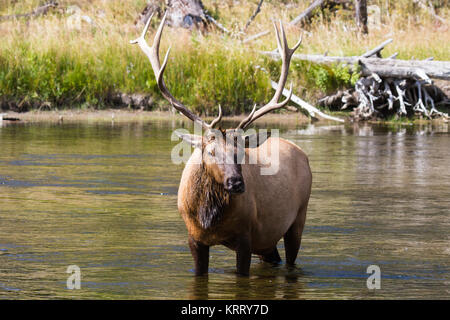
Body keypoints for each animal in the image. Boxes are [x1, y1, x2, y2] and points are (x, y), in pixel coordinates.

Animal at [131, 12, 312, 276]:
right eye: (211, 151)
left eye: (241, 153)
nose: (236, 183)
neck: (209, 220)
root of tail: (302, 153)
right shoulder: (194, 238)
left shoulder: (246, 237)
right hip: (267, 241)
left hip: (297, 219)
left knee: (291, 257)